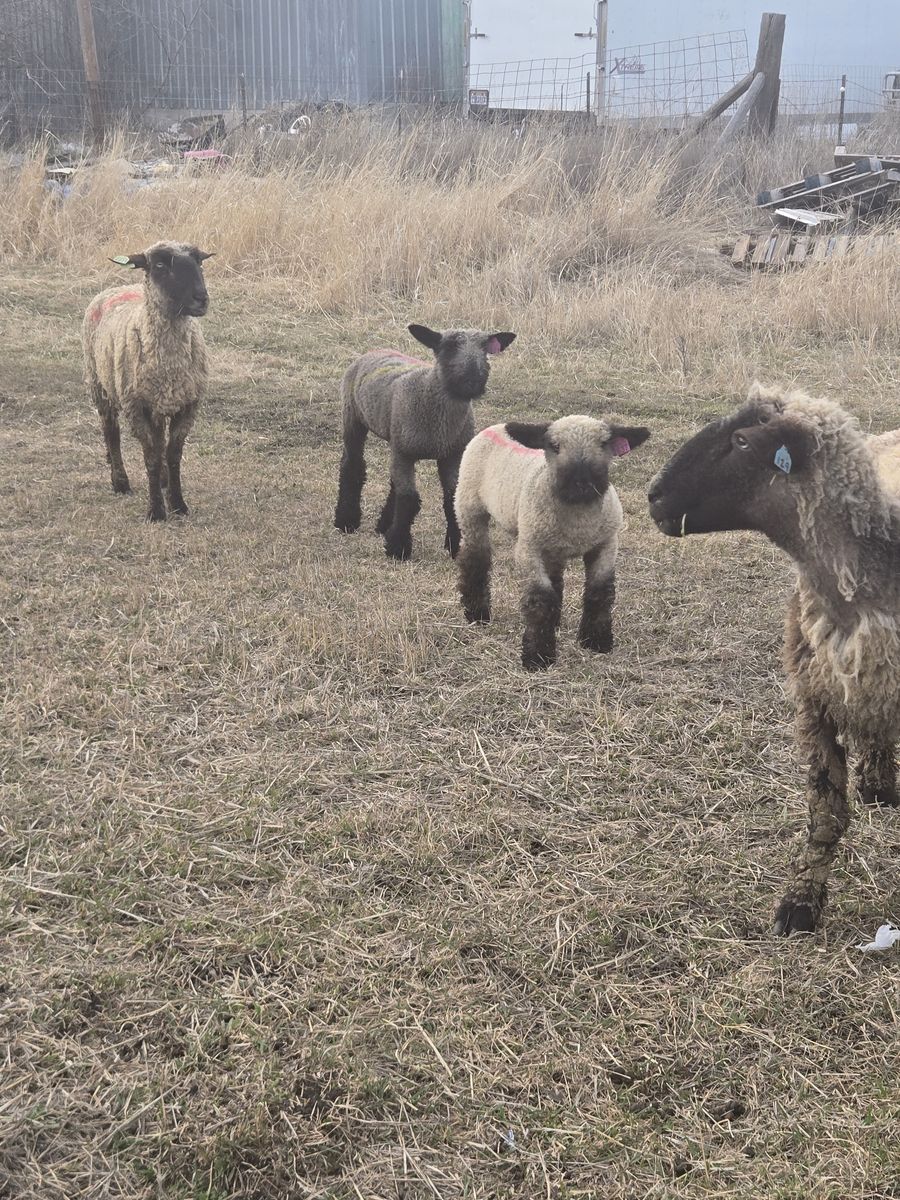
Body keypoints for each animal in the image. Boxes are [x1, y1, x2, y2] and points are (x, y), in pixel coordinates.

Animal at [82, 240, 213, 522]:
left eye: (199, 262)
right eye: (160, 265)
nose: (201, 298)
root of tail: (118, 286)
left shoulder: (187, 405)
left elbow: (173, 454)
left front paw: (178, 503)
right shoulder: (137, 408)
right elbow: (150, 456)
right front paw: (156, 511)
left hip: (158, 402)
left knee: (158, 437)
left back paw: (162, 480)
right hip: (100, 385)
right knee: (111, 433)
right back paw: (120, 481)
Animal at [333, 323, 516, 561]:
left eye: (485, 349)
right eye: (449, 346)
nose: (473, 381)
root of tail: (374, 351)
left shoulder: (451, 454)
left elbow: (450, 498)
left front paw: (455, 545)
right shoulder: (405, 452)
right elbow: (409, 499)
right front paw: (398, 547)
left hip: (397, 440)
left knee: (394, 482)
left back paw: (384, 525)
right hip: (353, 417)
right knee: (352, 464)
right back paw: (346, 520)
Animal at [455, 416, 651, 670]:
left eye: (603, 444)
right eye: (554, 446)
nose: (582, 483)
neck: (578, 520)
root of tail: (495, 427)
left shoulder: (606, 544)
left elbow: (600, 591)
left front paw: (597, 641)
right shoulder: (529, 549)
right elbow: (540, 598)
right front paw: (538, 656)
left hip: (552, 545)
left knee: (555, 578)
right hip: (469, 507)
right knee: (475, 559)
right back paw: (477, 614)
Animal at [648, 382, 900, 935]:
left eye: (743, 441)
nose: (653, 496)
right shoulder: (815, 699)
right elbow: (826, 813)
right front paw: (800, 903)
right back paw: (878, 784)